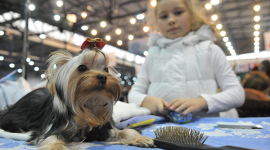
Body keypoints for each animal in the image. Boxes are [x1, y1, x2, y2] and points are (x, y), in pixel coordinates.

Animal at [0, 38, 154, 149]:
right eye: (82, 68)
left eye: (106, 70)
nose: (103, 77)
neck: (88, 100)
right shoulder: (50, 128)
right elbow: (51, 137)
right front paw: (56, 147)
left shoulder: (104, 128)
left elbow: (125, 131)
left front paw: (140, 138)